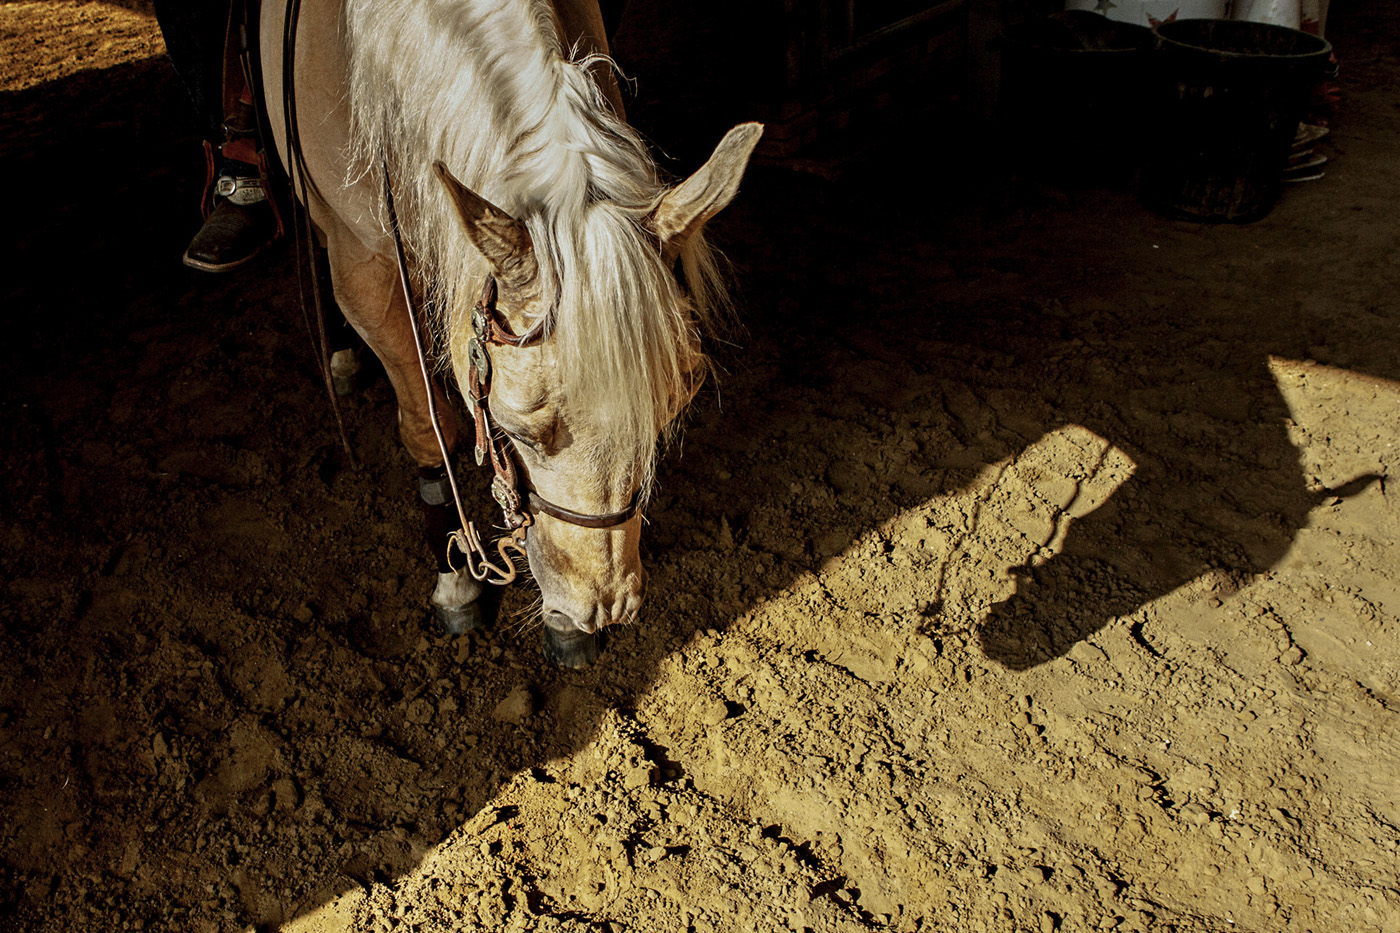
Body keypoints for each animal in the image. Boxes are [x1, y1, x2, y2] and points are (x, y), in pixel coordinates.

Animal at [263, 0, 767, 661]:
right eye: (515, 429)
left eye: (671, 407)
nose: (602, 608)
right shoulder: (365, 266)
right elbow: (428, 427)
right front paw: (455, 579)